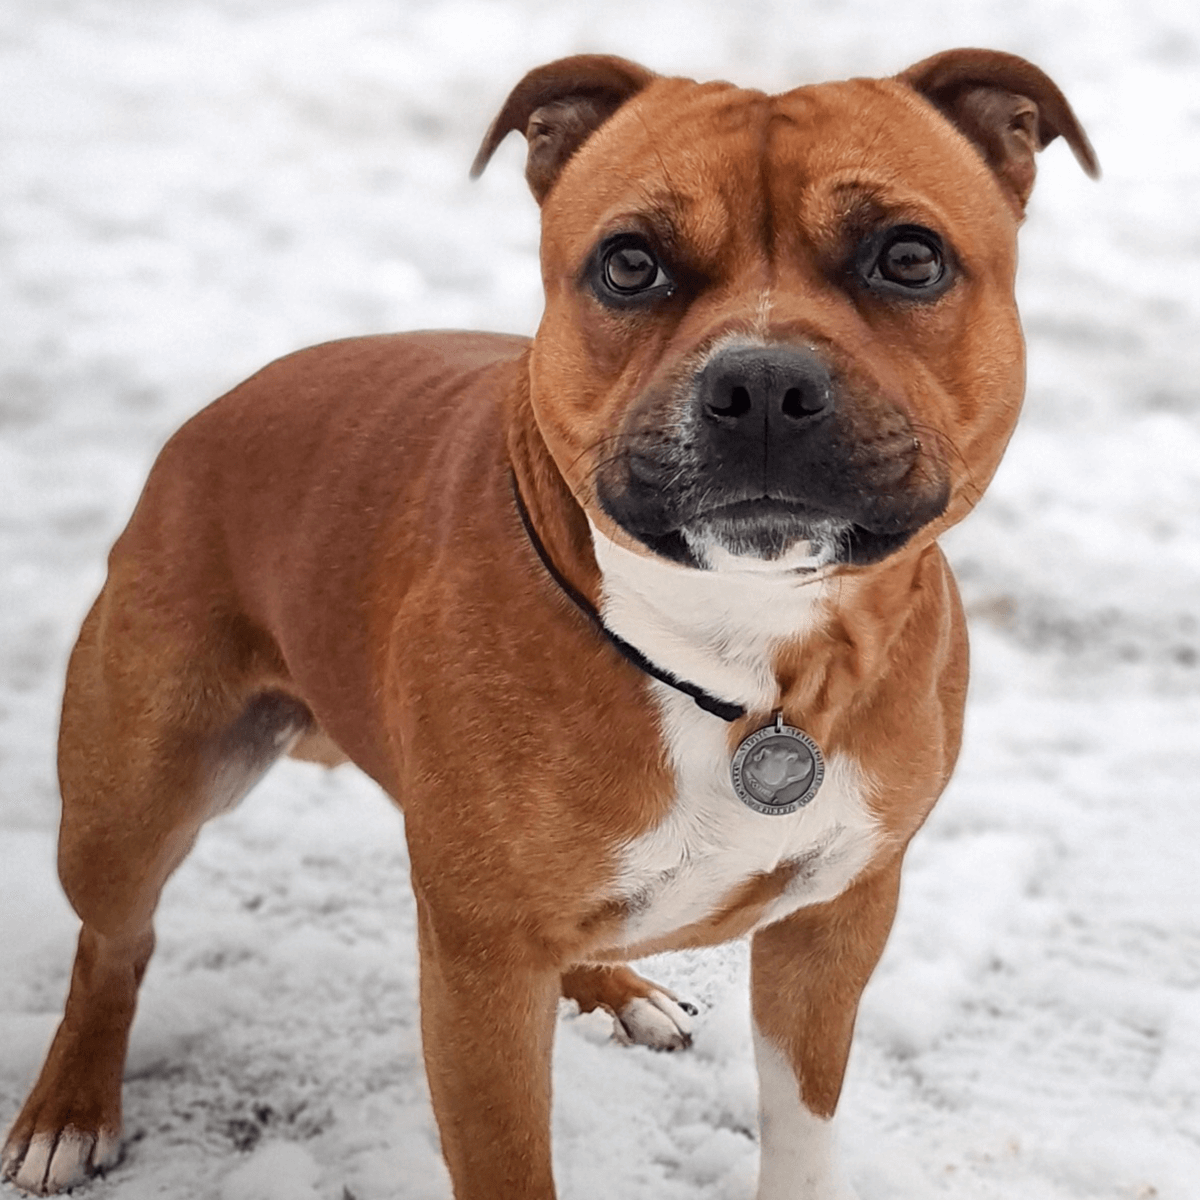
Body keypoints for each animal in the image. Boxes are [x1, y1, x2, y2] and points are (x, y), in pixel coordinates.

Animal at [2, 46, 1099, 1200]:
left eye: (909, 257)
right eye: (629, 265)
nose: (760, 382)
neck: (740, 659)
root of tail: (213, 415)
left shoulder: (833, 924)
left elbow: (800, 1131)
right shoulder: (479, 972)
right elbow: (510, 1161)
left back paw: (620, 987)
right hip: (134, 801)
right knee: (112, 940)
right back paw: (68, 1109)